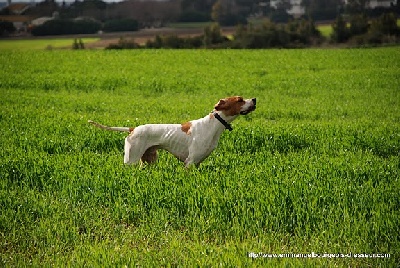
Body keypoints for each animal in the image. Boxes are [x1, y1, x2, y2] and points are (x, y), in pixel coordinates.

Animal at [88, 96, 256, 168]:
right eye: (240, 100)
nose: (254, 99)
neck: (213, 124)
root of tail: (133, 128)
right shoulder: (190, 162)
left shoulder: (197, 164)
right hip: (131, 160)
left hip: (149, 160)